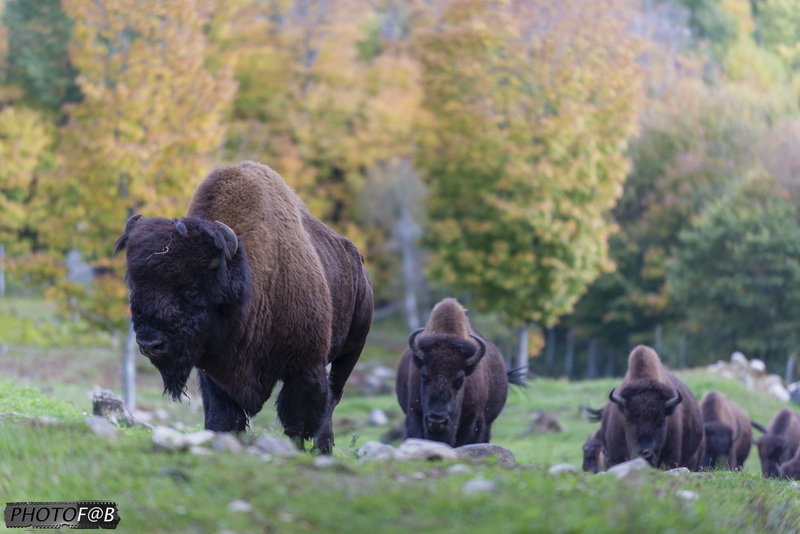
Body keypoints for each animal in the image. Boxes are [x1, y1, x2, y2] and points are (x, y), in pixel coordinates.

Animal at [115, 161, 376, 454]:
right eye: (135, 285)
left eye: (192, 288)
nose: (150, 344)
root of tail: (358, 262)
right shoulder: (216, 374)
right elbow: (224, 419)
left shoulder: (305, 367)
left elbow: (297, 422)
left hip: (351, 351)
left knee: (332, 399)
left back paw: (324, 449)